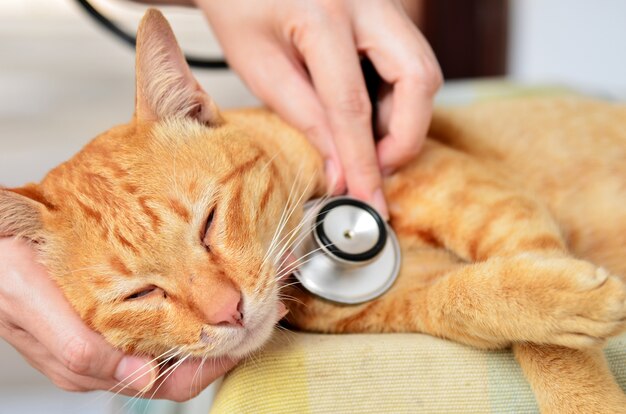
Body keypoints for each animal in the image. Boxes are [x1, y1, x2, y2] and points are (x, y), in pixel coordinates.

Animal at [1, 9, 624, 414]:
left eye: (209, 221)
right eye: (140, 294)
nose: (228, 312)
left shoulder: (476, 193)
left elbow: (555, 354)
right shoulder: (401, 298)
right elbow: (466, 298)